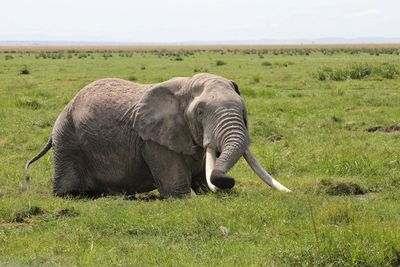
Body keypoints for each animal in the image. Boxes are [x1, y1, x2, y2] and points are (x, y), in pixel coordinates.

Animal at [26, 73, 292, 199]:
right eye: (200, 112)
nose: (230, 183)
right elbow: (176, 191)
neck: (184, 87)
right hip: (67, 141)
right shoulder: (153, 140)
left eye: (243, 110)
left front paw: (207, 189)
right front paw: (184, 197)